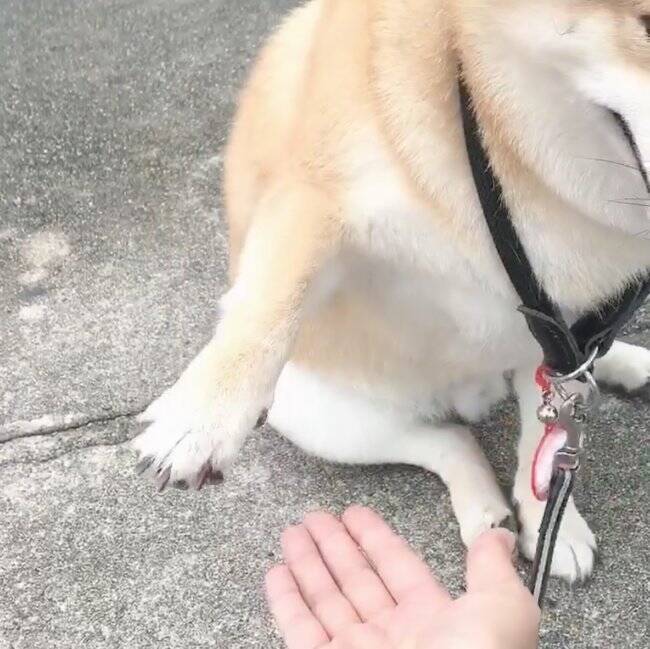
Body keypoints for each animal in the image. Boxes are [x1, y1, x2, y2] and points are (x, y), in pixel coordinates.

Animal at [132, 1, 648, 584]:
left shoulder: (562, 325)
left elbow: (546, 432)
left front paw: (552, 526)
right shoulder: (317, 194)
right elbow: (270, 302)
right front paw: (199, 419)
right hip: (325, 418)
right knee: (449, 440)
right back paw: (485, 510)